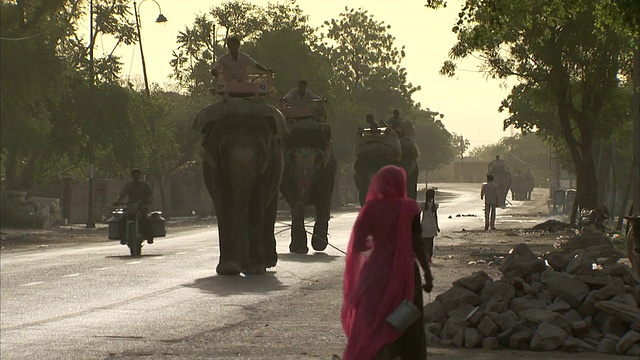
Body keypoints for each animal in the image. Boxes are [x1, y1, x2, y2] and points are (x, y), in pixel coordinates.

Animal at [194, 98, 286, 276]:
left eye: (263, 152)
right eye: (222, 151)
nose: (243, 266)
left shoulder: (268, 169)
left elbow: (256, 204)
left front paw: (256, 269)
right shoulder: (213, 167)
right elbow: (223, 202)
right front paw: (229, 269)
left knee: (268, 211)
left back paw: (268, 262)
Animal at [282, 117, 340, 253]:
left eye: (318, 157)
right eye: (292, 156)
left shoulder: (328, 169)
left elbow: (323, 197)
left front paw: (319, 245)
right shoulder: (285, 170)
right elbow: (291, 195)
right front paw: (298, 249)